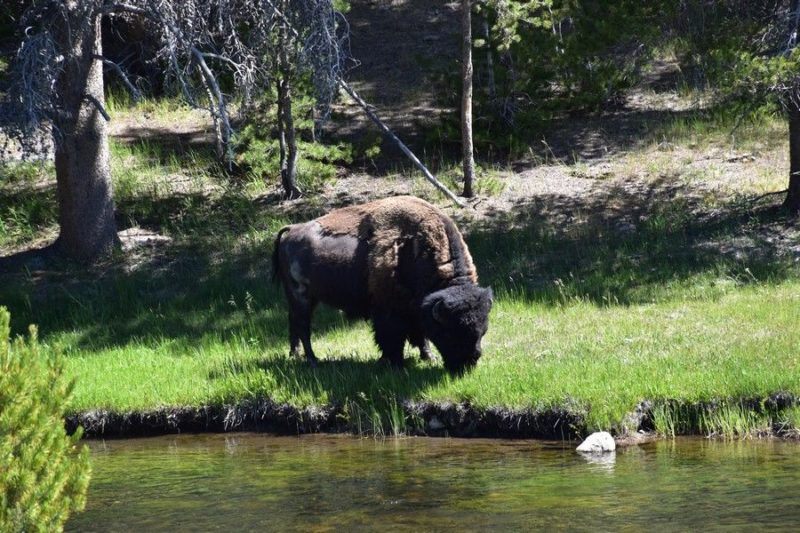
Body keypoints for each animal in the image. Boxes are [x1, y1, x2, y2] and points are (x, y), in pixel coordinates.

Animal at [272, 193, 490, 372]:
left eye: (483, 331)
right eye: (451, 332)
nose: (469, 362)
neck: (415, 251)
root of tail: (292, 230)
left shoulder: (416, 309)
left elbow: (421, 335)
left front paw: (428, 357)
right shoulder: (389, 311)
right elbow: (391, 337)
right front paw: (395, 363)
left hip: (304, 298)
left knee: (294, 322)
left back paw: (295, 355)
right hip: (301, 296)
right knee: (303, 326)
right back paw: (312, 360)